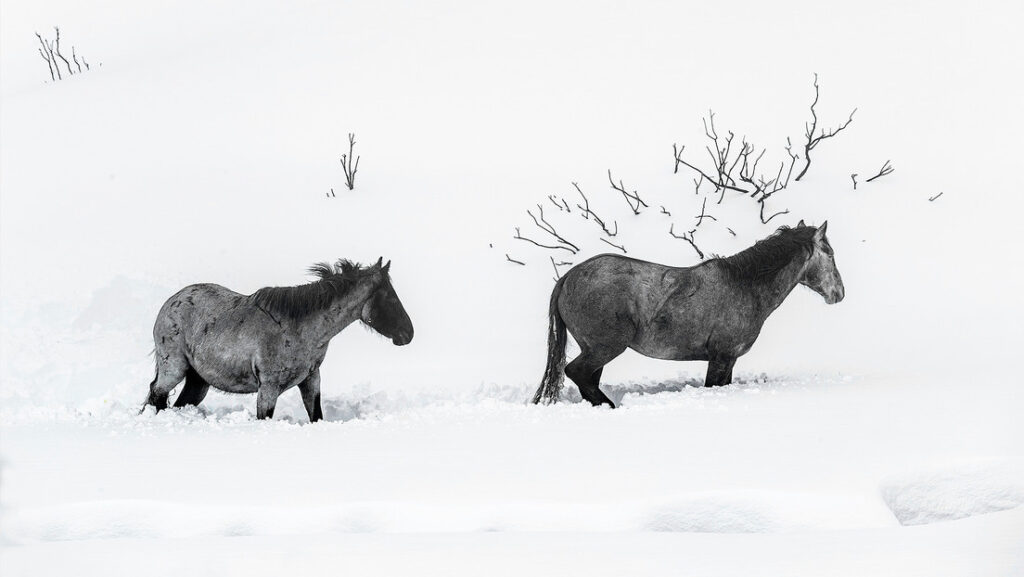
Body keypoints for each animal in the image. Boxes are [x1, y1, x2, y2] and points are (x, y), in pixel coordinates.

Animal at [144, 258, 413, 421]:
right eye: (390, 298)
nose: (408, 334)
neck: (298, 329)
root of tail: (171, 302)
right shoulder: (268, 388)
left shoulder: (311, 380)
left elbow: (316, 415)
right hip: (173, 370)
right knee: (156, 395)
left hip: (198, 381)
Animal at [532, 221, 844, 407]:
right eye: (829, 252)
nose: (839, 293)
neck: (744, 286)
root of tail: (568, 277)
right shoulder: (721, 357)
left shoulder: (728, 360)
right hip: (605, 346)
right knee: (577, 372)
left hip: (595, 348)